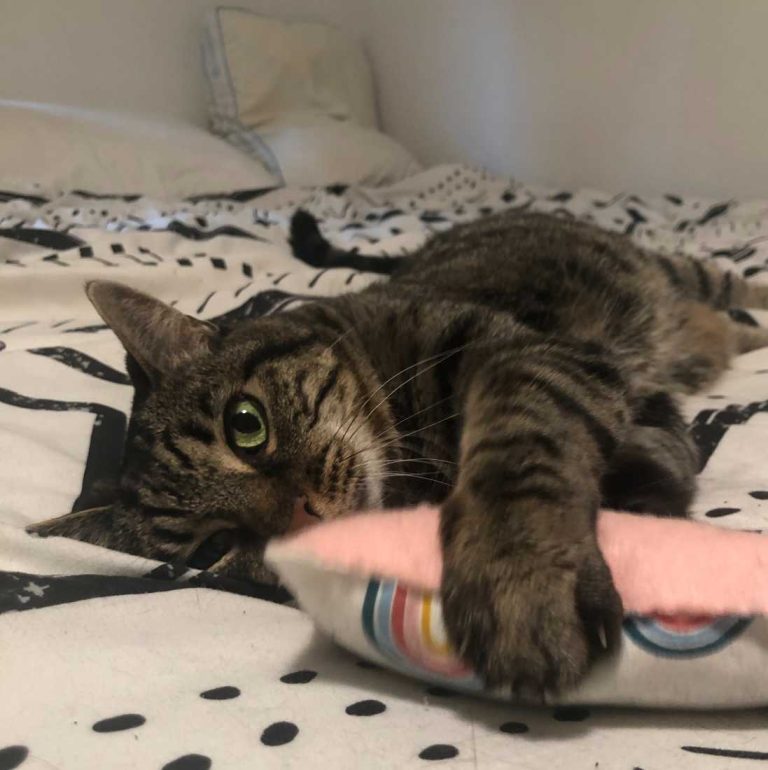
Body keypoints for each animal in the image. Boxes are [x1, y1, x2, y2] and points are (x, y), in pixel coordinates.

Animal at [30, 208, 768, 697]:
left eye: (246, 426)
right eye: (213, 546)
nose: (302, 516)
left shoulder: (523, 354)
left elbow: (517, 450)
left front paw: (519, 575)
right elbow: (655, 444)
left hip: (674, 270)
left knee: (734, 284)